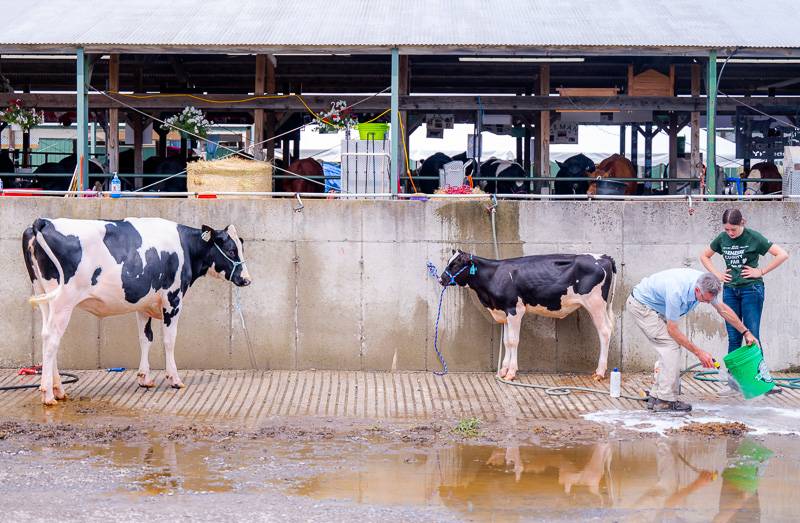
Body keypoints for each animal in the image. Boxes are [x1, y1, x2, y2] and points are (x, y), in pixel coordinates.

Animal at [21, 217, 250, 406]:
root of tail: (43, 221)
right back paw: (48, 395)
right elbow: (169, 340)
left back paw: (58, 390)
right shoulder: (172, 299)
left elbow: (145, 338)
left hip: (43, 294)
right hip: (63, 300)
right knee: (52, 339)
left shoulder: (144, 304)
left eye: (241, 247)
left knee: (47, 336)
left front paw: (144, 378)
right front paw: (174, 379)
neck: (185, 247)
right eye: (231, 250)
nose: (246, 279)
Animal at [440, 250, 616, 380]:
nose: (441, 279)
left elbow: (513, 341)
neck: (494, 275)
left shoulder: (515, 310)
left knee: (605, 331)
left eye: (455, 264)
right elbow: (506, 341)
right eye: (449, 261)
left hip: (595, 304)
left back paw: (599, 372)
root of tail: (604, 257)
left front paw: (511, 373)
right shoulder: (504, 310)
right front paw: (503, 370)